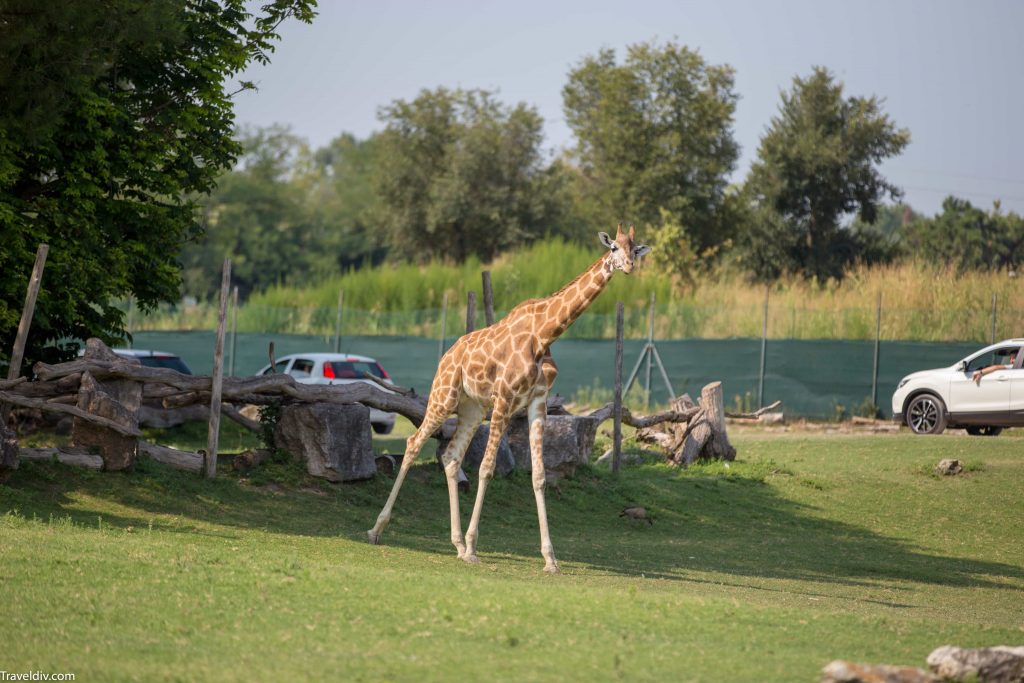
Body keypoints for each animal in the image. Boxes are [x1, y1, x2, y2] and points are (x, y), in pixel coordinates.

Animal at [370, 223, 647, 573]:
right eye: (613, 248)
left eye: (634, 248)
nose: (629, 266)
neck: (544, 334)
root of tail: (446, 355)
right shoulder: (504, 397)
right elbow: (487, 468)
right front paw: (474, 547)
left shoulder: (537, 403)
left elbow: (539, 476)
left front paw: (550, 559)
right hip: (444, 395)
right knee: (413, 443)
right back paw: (377, 529)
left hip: (472, 408)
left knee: (451, 457)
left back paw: (456, 544)